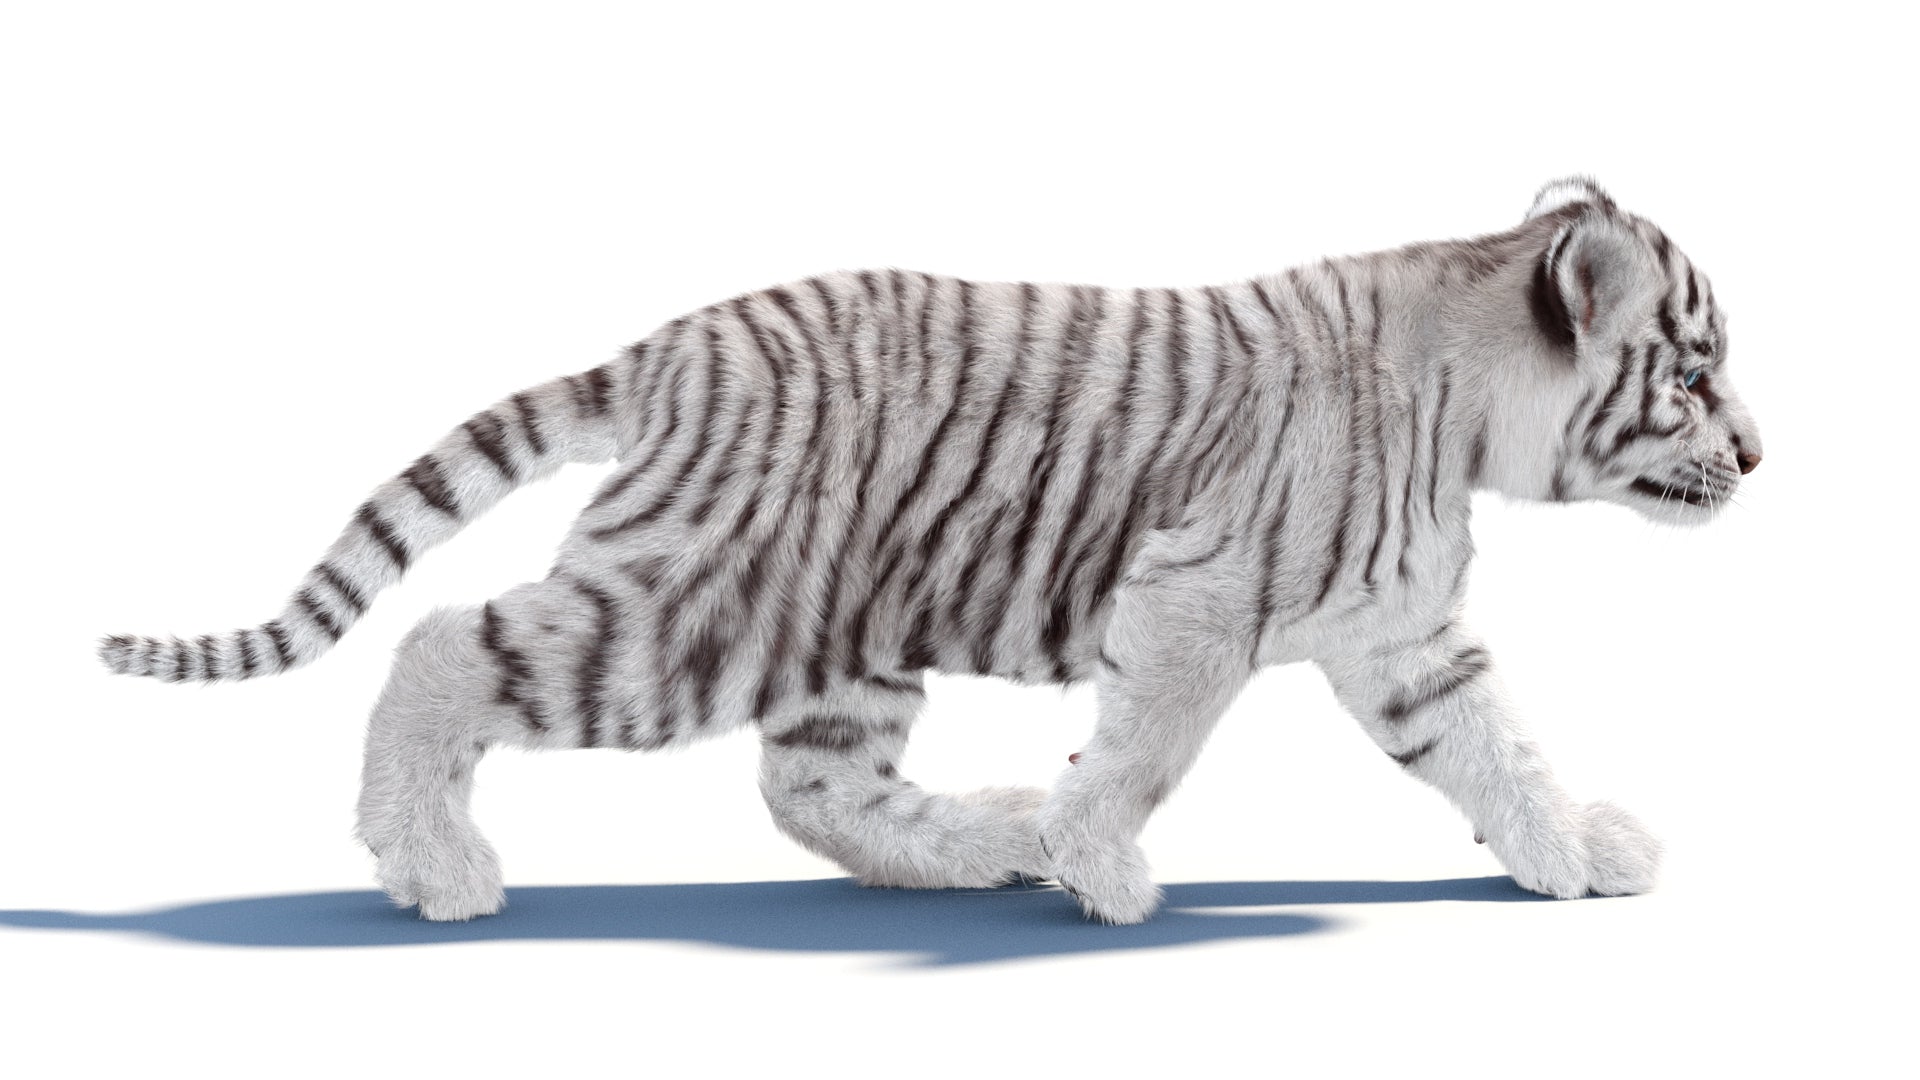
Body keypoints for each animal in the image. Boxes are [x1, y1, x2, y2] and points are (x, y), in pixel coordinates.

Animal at [99, 177, 1762, 925]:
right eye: (1692, 373)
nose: (1757, 453)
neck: (1474, 410)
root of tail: (675, 347)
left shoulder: (1403, 637)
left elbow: (1496, 747)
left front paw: (1577, 854)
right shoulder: (1194, 599)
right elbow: (1147, 748)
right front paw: (1106, 865)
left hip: (836, 630)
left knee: (812, 789)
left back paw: (989, 839)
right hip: (688, 612)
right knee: (446, 643)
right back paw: (429, 865)